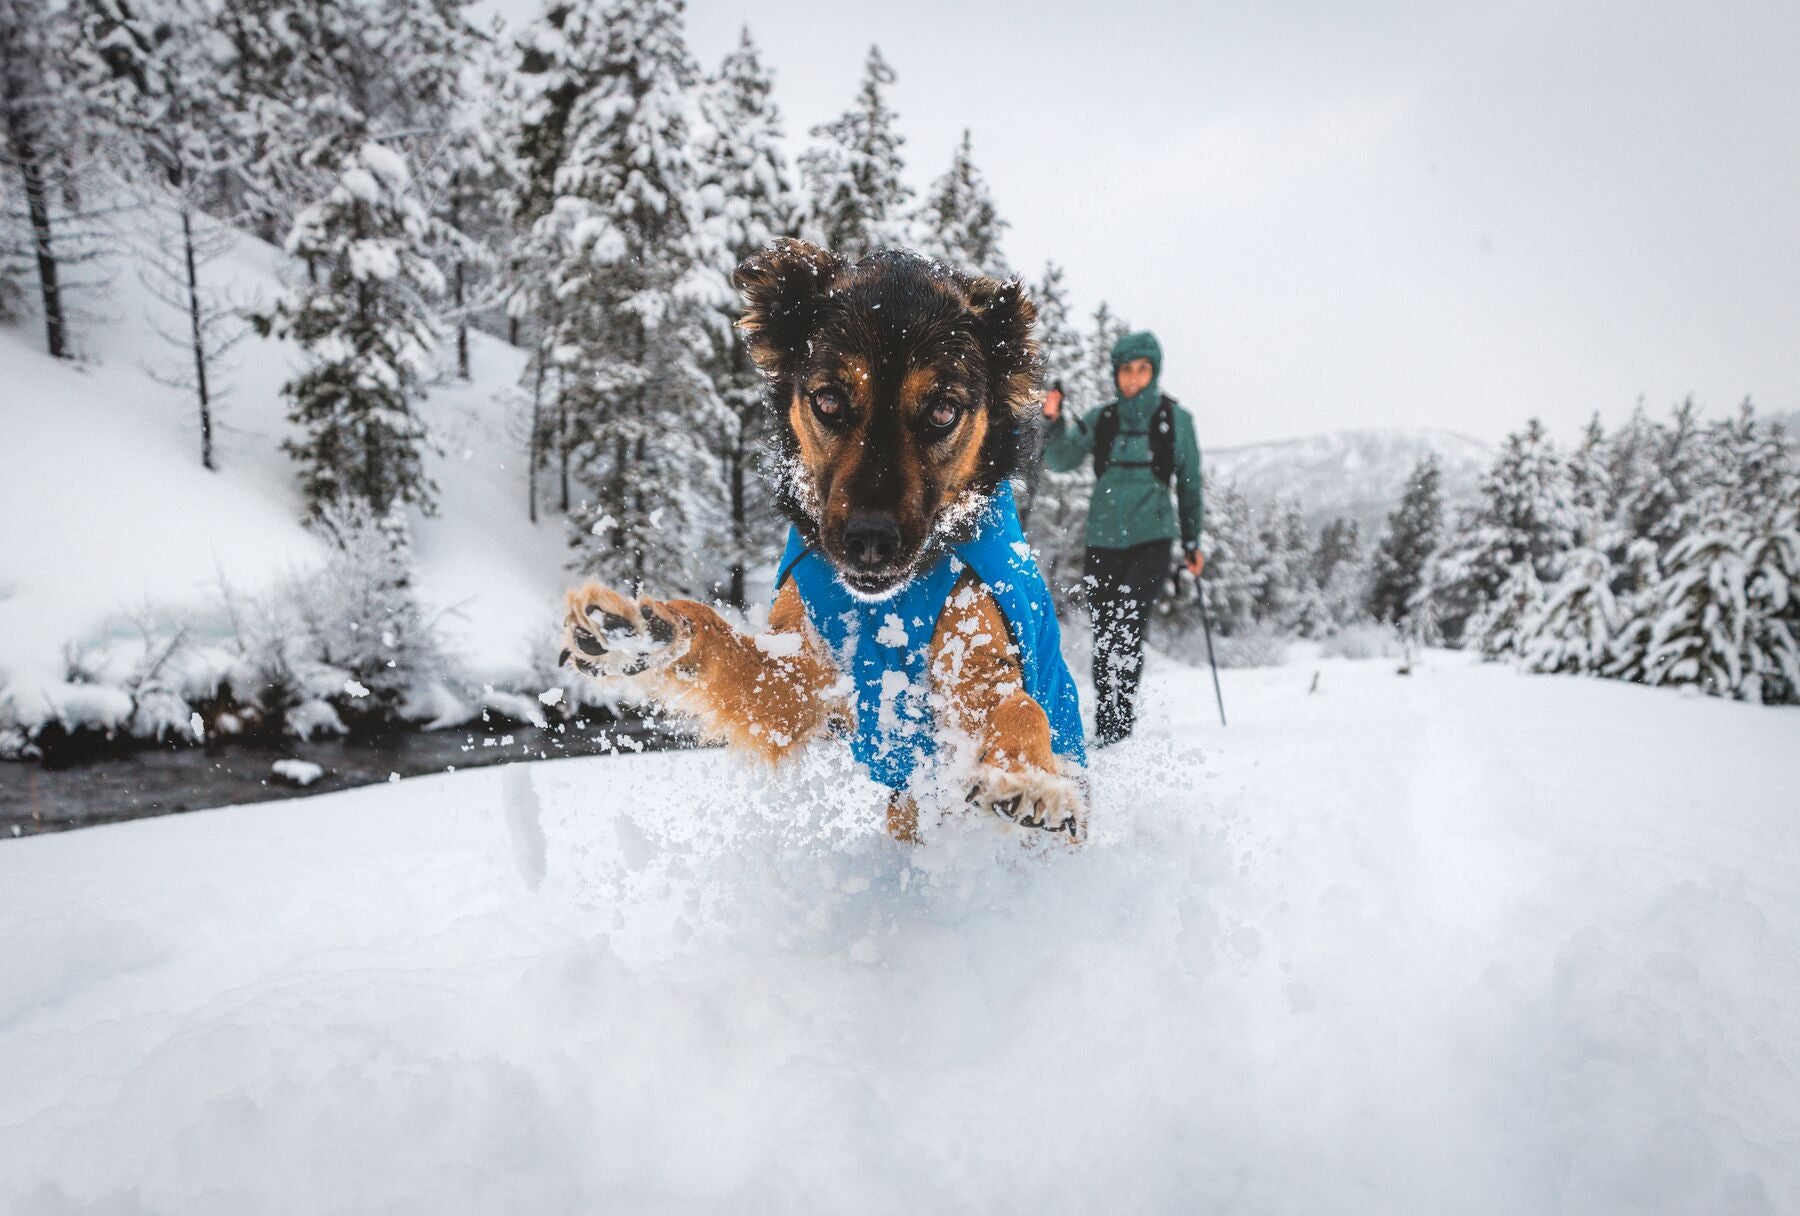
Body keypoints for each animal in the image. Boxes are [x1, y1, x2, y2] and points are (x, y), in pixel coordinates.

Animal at [558, 242, 1080, 841]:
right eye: (829, 400)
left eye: (943, 411)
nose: (871, 541)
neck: (885, 609)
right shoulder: (795, 685)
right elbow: (718, 638)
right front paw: (646, 633)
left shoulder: (974, 657)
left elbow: (1018, 707)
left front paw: (1028, 777)